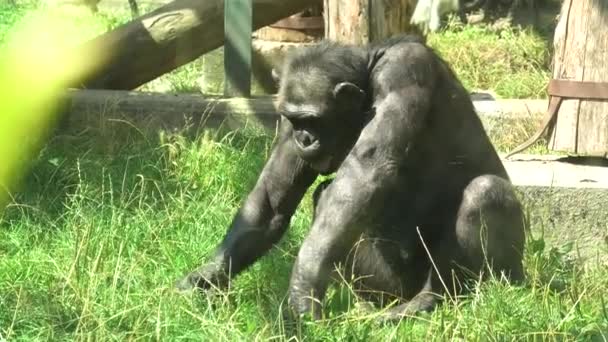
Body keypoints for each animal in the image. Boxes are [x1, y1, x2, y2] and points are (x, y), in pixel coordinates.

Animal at [173, 34, 524, 320]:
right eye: (294, 120)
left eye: (313, 120)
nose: (303, 138)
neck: (368, 83)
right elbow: (272, 199)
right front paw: (204, 278)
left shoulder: (405, 71)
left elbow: (366, 173)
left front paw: (302, 288)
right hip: (387, 286)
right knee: (324, 195)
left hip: (506, 275)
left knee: (485, 192)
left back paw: (429, 300)